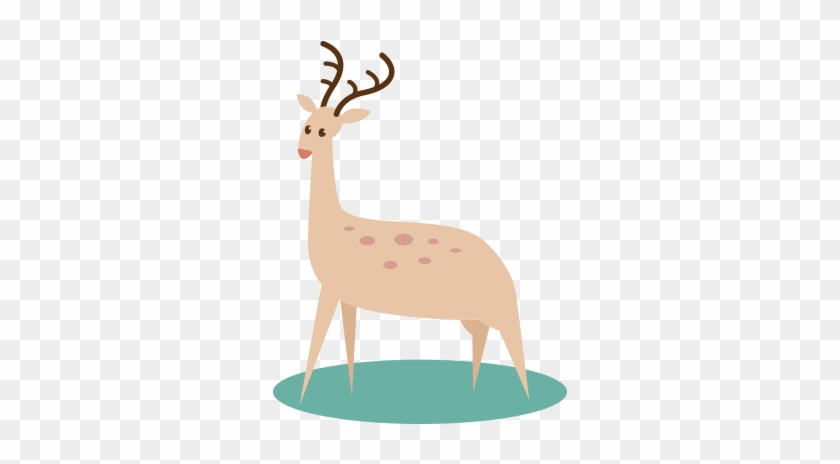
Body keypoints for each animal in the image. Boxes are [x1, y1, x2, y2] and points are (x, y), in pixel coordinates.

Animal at [295, 41, 530, 402]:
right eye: (307, 124)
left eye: (323, 130)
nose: (301, 150)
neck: (332, 225)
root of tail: (503, 274)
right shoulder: (347, 296)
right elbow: (348, 342)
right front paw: (350, 392)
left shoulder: (330, 288)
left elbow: (316, 342)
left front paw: (303, 397)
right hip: (472, 314)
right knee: (481, 337)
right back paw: (474, 391)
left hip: (495, 309)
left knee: (513, 344)